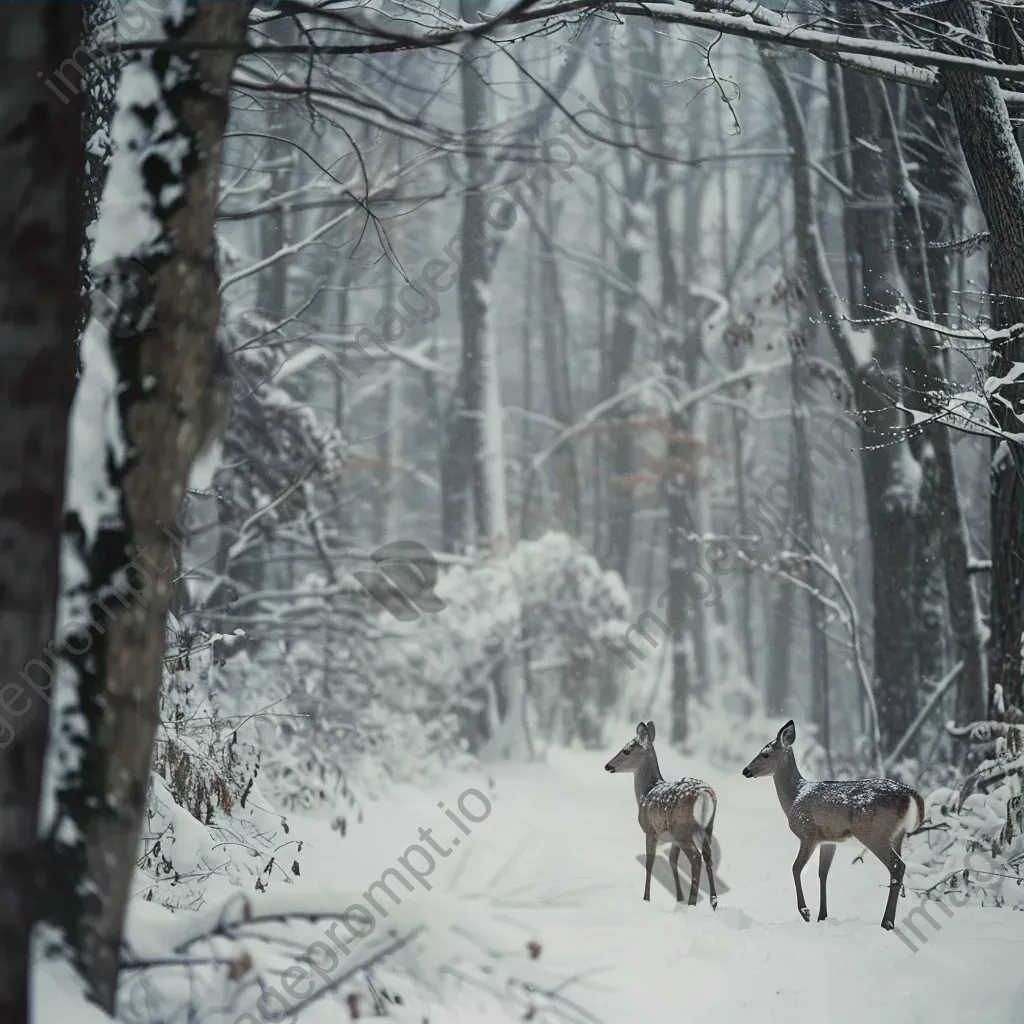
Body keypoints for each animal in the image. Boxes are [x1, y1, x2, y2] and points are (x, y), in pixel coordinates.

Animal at [598, 720, 720, 905]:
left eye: (626, 750)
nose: (608, 766)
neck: (646, 791)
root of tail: (705, 794)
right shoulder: (672, 839)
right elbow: (672, 861)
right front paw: (679, 898)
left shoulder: (650, 830)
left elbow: (650, 863)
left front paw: (646, 898)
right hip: (707, 827)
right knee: (708, 856)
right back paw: (713, 901)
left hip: (683, 830)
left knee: (696, 858)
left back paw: (692, 902)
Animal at [741, 720, 925, 929]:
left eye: (765, 753)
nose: (746, 771)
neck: (795, 796)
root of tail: (910, 794)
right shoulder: (829, 840)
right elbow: (823, 873)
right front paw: (822, 915)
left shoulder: (808, 833)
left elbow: (796, 868)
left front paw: (805, 912)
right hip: (897, 835)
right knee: (900, 866)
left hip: (872, 832)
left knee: (897, 866)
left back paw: (886, 922)